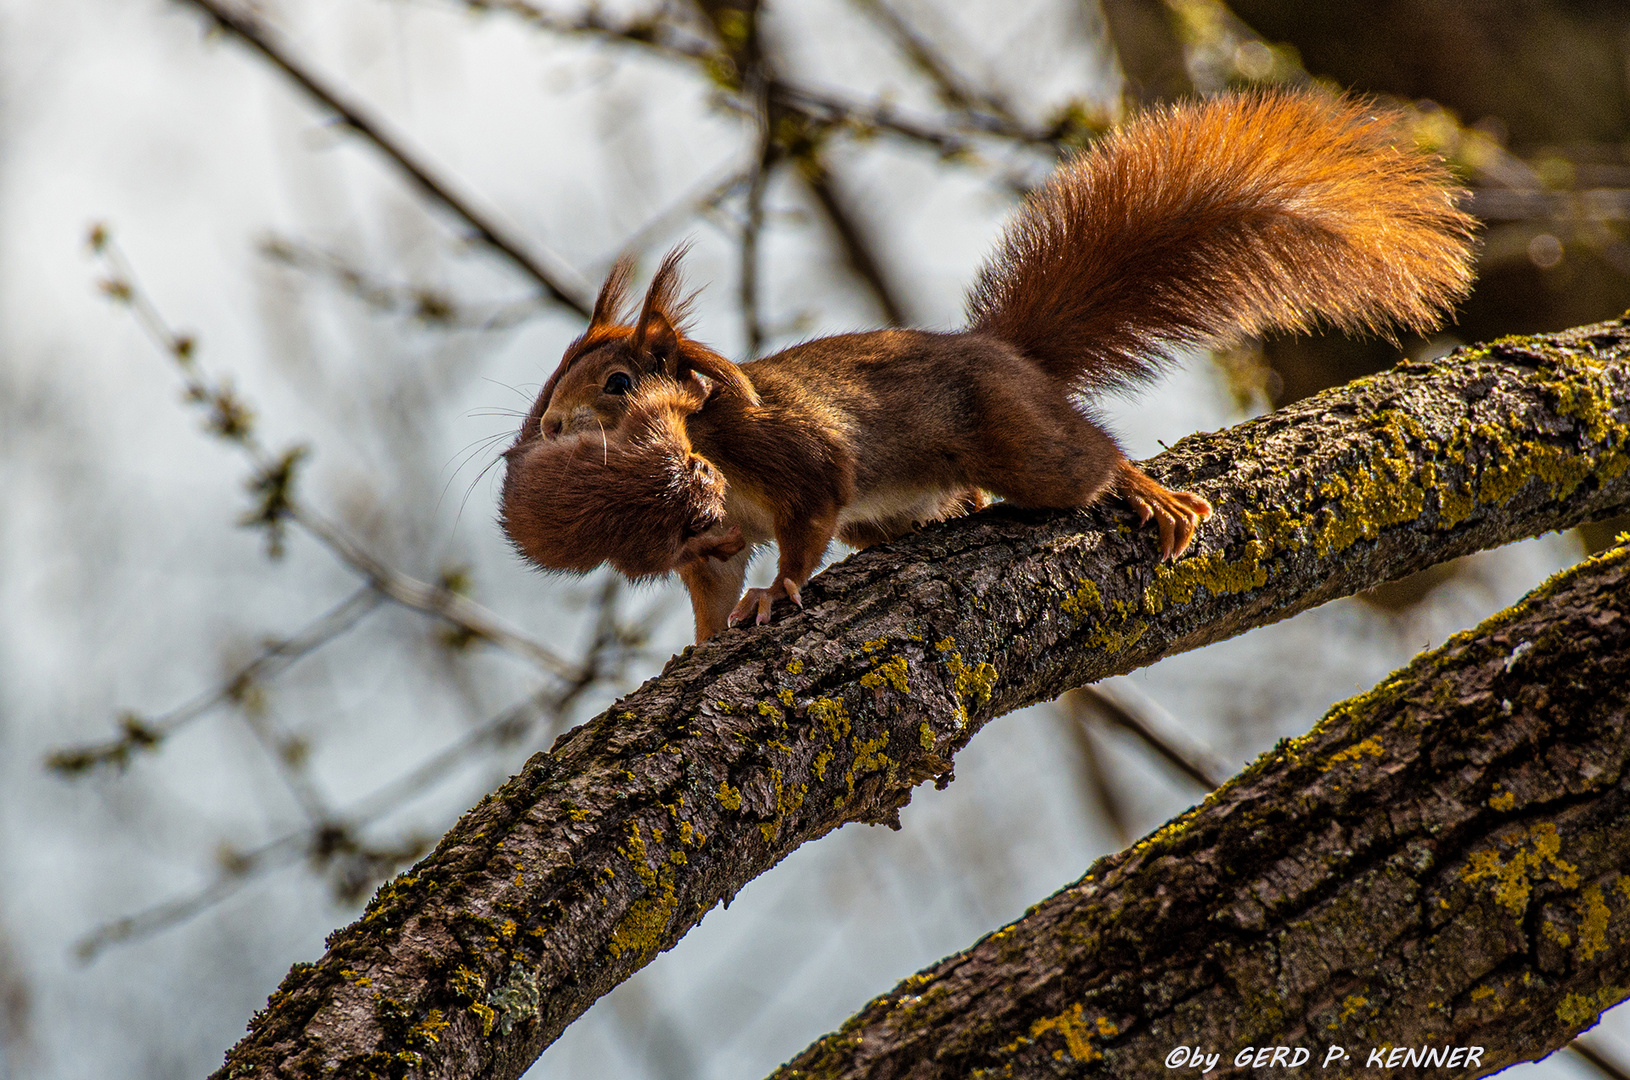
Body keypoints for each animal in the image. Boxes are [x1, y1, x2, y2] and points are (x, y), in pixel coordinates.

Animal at [495, 90, 1480, 641]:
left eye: (619, 383)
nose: (548, 431)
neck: (708, 448)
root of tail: (1011, 356)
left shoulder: (790, 453)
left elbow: (808, 516)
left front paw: (780, 592)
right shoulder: (714, 533)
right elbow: (713, 583)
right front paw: (700, 640)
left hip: (1017, 438)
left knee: (1083, 459)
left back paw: (1141, 489)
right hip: (897, 511)